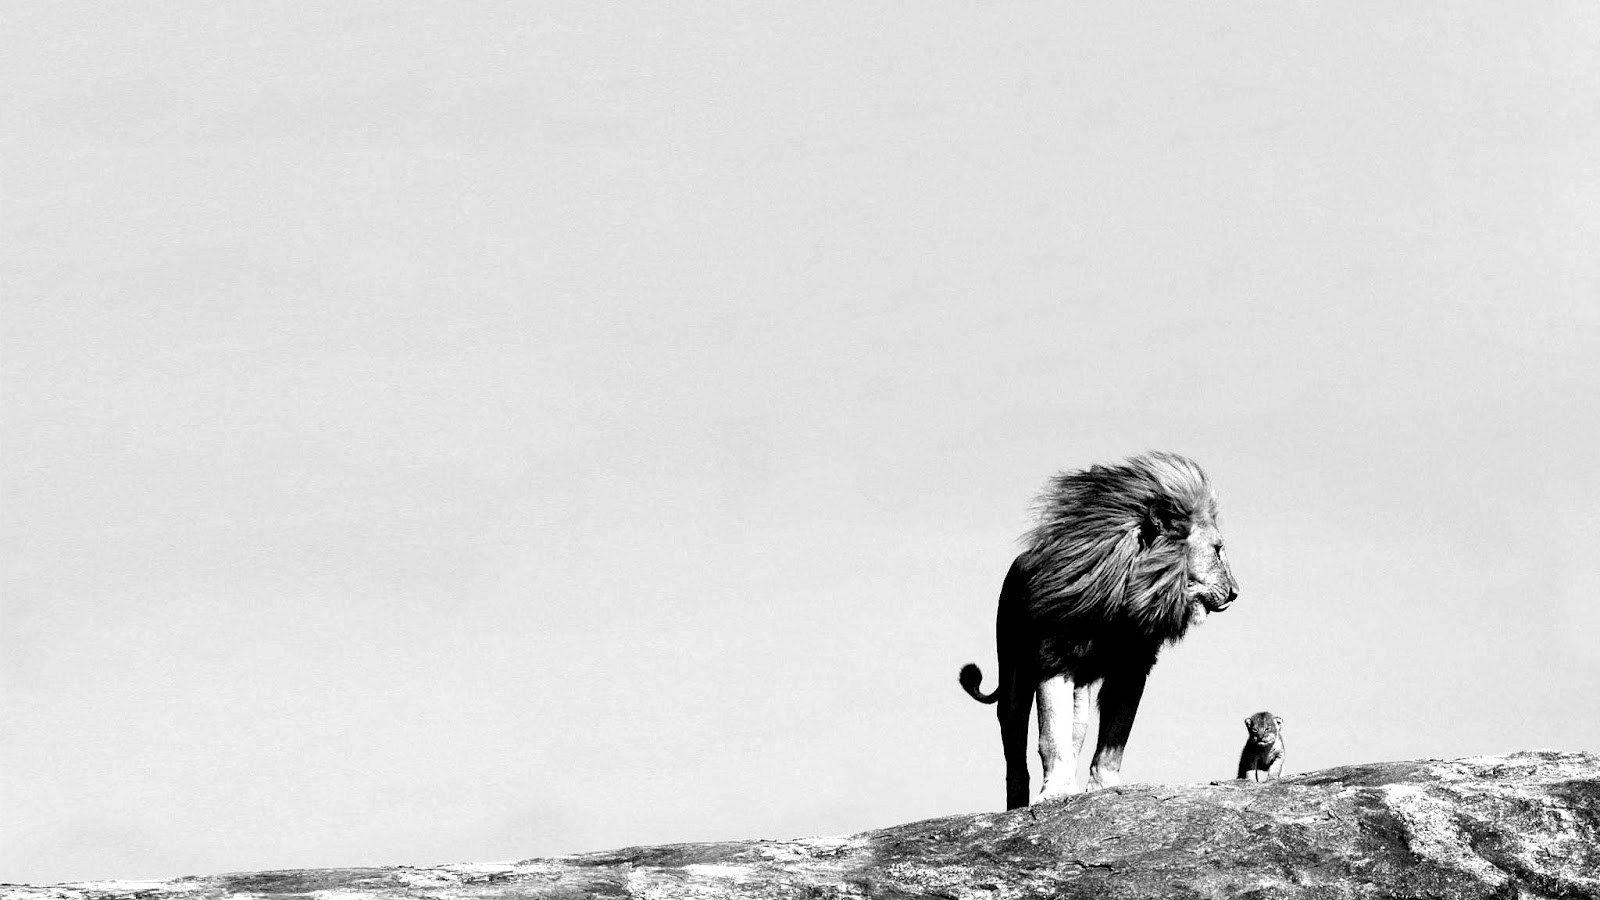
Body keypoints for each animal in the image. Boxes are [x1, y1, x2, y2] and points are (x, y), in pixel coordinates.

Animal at [958, 452, 1238, 808]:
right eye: (1217, 549)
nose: (1235, 592)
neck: (1124, 597)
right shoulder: (1053, 658)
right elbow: (1051, 736)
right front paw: (1056, 793)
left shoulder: (1132, 667)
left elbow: (1114, 737)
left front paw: (1103, 789)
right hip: (1013, 671)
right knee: (1013, 731)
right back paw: (1018, 802)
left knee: (1076, 730)